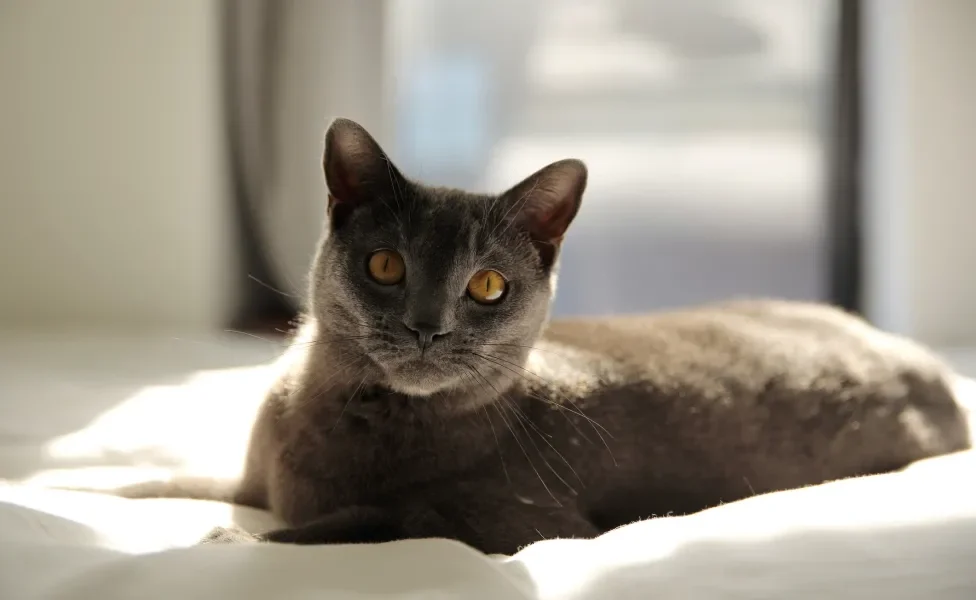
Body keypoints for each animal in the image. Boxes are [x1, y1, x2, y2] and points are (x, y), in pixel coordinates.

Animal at [105, 119, 968, 556]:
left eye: (488, 287)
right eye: (385, 264)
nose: (428, 327)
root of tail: (929, 368)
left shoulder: (523, 524)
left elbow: (375, 519)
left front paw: (236, 539)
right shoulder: (255, 474)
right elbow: (189, 482)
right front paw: (115, 490)